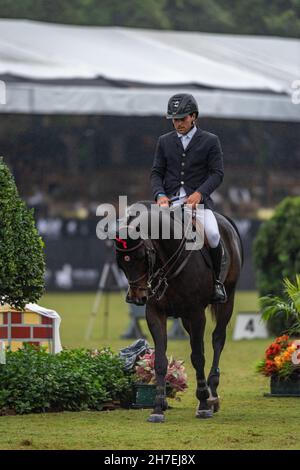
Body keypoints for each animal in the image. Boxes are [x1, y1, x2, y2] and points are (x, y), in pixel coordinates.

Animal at [113, 202, 243, 422]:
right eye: (121, 262)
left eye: (142, 257)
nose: (137, 298)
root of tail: (224, 220)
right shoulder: (155, 313)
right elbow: (160, 360)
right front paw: (158, 407)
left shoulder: (196, 312)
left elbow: (198, 357)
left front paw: (203, 404)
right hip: (184, 318)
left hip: (227, 299)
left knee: (217, 339)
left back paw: (212, 394)